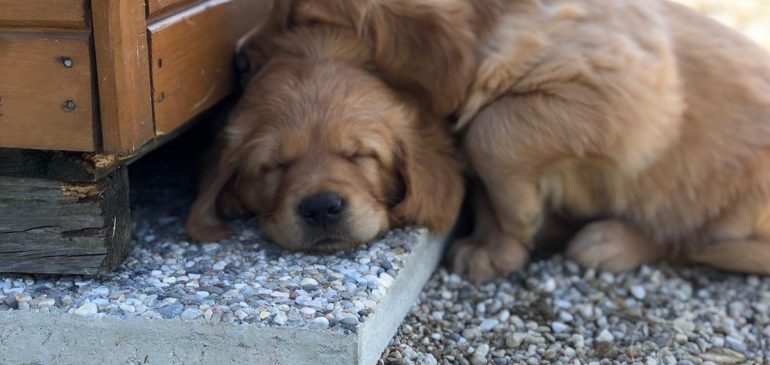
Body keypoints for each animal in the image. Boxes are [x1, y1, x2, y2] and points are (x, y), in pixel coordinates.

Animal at [288, 0, 768, 278]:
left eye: (300, 19)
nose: (252, 55)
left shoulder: (626, 91)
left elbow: (492, 126)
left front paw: (522, 218)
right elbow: (484, 176)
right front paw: (494, 247)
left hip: (737, 198)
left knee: (694, 241)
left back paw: (609, 241)